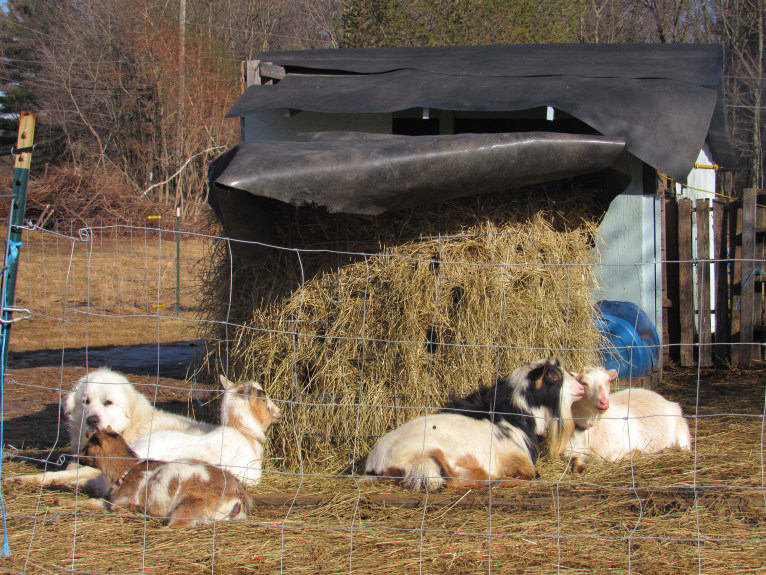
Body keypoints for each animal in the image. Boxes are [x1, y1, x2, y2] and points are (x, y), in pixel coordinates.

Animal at [80, 430, 252, 528]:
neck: (125, 470)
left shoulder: (124, 501)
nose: (77, 456)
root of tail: (238, 497)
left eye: (87, 446)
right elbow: (96, 502)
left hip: (189, 505)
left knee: (175, 525)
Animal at [366, 358, 588, 492]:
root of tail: (375, 464)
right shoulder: (519, 461)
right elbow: (532, 474)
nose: (581, 387)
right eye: (554, 376)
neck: (513, 414)